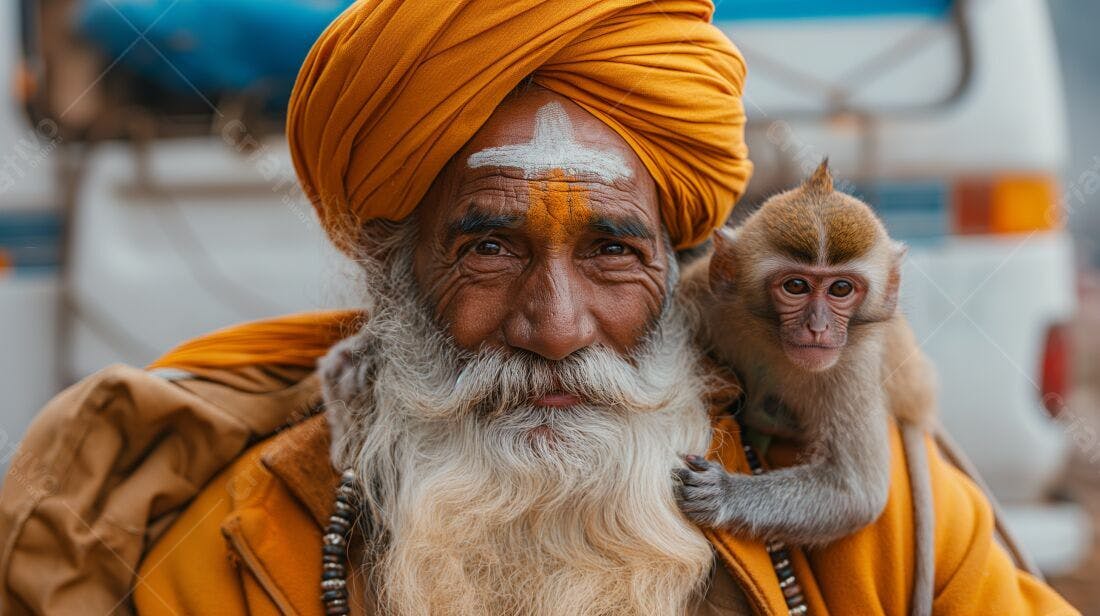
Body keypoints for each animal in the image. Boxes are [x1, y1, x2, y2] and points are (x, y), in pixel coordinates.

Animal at [674, 161, 937, 560]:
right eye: (795, 286)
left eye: (841, 288)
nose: (818, 328)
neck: (770, 340)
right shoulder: (700, 298)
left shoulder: (851, 363)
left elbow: (855, 492)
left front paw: (724, 493)